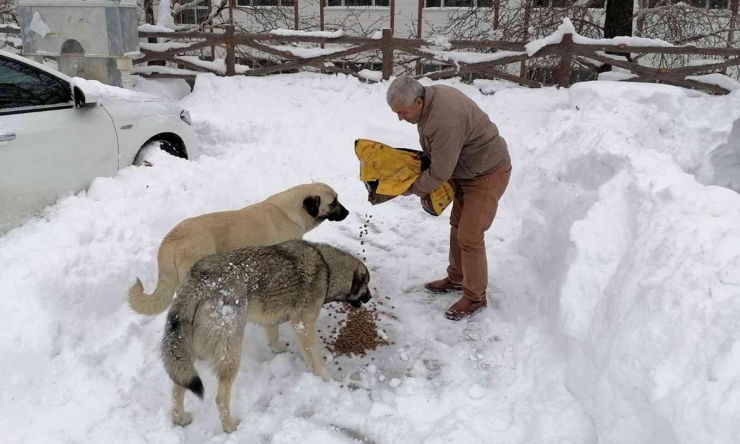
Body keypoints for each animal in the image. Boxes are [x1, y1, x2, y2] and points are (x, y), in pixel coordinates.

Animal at [160, 239, 370, 434]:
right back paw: (230, 426)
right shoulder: (303, 324)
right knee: (219, 398)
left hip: (188, 352)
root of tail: (199, 280)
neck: (327, 269)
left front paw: (278, 348)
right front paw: (328, 378)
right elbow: (315, 359)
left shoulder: (272, 318)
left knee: (177, 387)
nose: (370, 298)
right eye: (367, 285)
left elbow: (273, 337)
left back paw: (180, 419)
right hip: (231, 355)